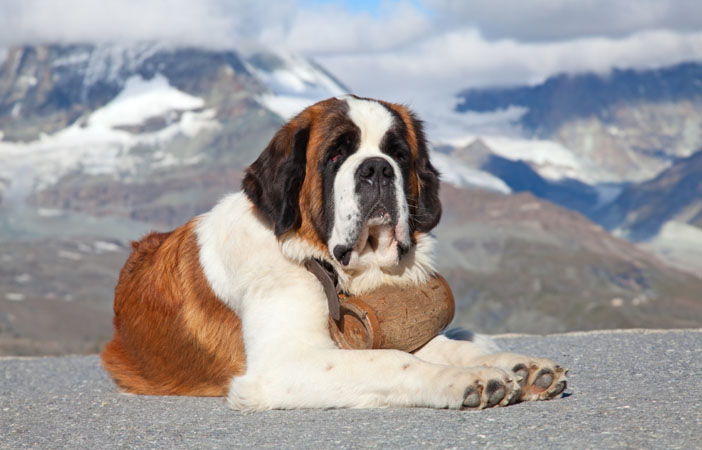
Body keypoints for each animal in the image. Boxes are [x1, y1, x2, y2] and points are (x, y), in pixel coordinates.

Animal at [102, 96, 568, 412]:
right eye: (337, 154)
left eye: (399, 154)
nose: (377, 168)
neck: (331, 268)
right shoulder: (283, 364)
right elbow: (391, 361)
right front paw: (468, 381)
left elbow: (442, 345)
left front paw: (517, 367)